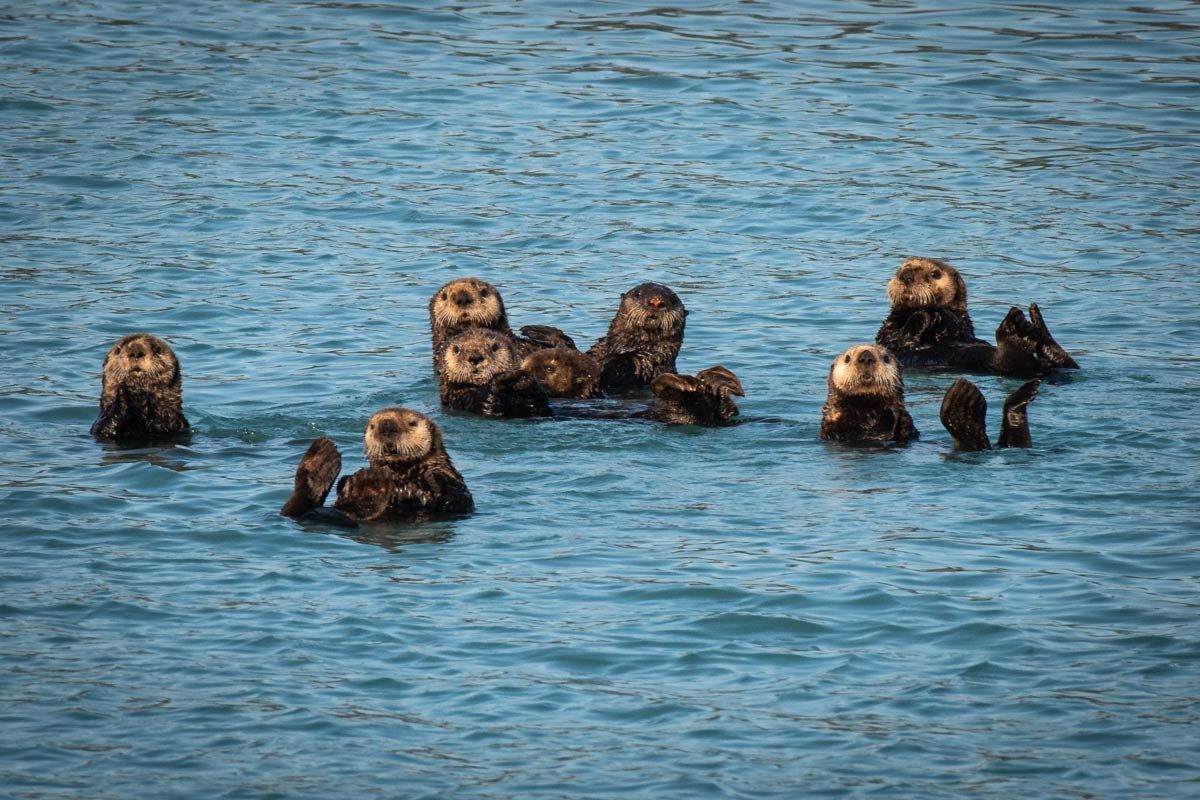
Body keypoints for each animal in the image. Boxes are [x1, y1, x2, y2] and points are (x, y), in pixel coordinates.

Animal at [281, 407, 473, 524]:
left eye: (412, 423)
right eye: (373, 425)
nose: (386, 426)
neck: (401, 474)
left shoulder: (454, 483)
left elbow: (451, 496)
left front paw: (433, 480)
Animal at [874, 257, 1078, 376]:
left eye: (935, 273)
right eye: (900, 268)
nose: (906, 276)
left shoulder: (963, 326)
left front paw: (932, 314)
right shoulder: (890, 333)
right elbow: (898, 339)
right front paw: (926, 315)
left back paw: (1032, 323)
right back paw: (1018, 328)